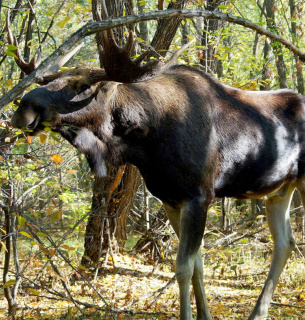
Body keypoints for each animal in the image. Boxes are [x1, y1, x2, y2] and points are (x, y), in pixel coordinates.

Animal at [8, 5, 304, 320]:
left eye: (83, 84)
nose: (23, 109)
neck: (146, 143)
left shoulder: (199, 196)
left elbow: (183, 268)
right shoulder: (170, 198)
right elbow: (197, 267)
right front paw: (204, 314)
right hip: (279, 190)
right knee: (285, 243)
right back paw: (258, 312)